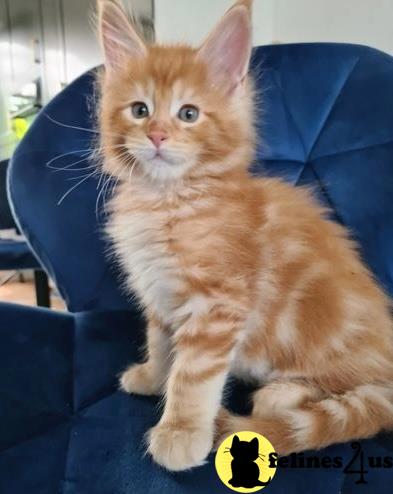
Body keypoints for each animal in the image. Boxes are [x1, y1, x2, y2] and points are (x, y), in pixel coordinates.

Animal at [97, 0, 392, 470]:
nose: (157, 135)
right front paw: (153, 376)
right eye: (139, 110)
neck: (169, 200)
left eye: (188, 114)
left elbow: (193, 375)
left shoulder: (217, 303)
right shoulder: (159, 293)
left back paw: (281, 394)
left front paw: (181, 431)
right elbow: (160, 343)